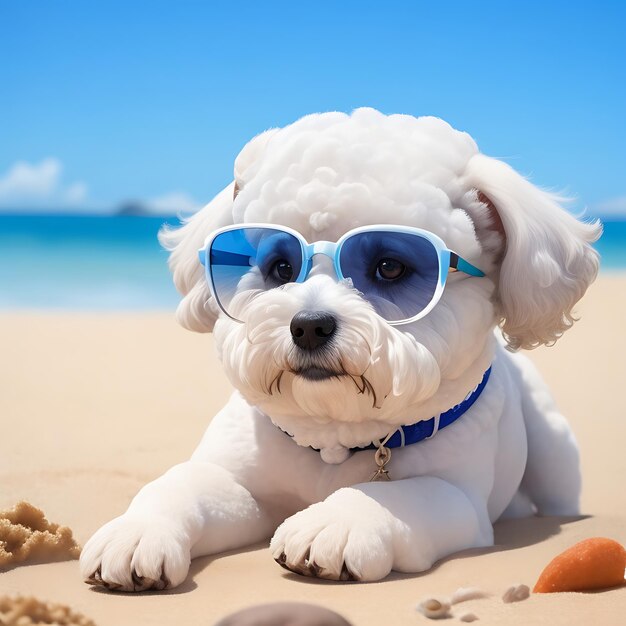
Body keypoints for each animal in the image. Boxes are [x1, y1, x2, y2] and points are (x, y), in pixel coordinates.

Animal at [80, 108, 596, 588]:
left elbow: (393, 494)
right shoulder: (242, 487)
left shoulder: (458, 498)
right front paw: (138, 531)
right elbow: (182, 484)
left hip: (552, 457)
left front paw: (335, 522)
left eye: (390, 266)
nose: (308, 326)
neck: (332, 438)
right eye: (280, 267)